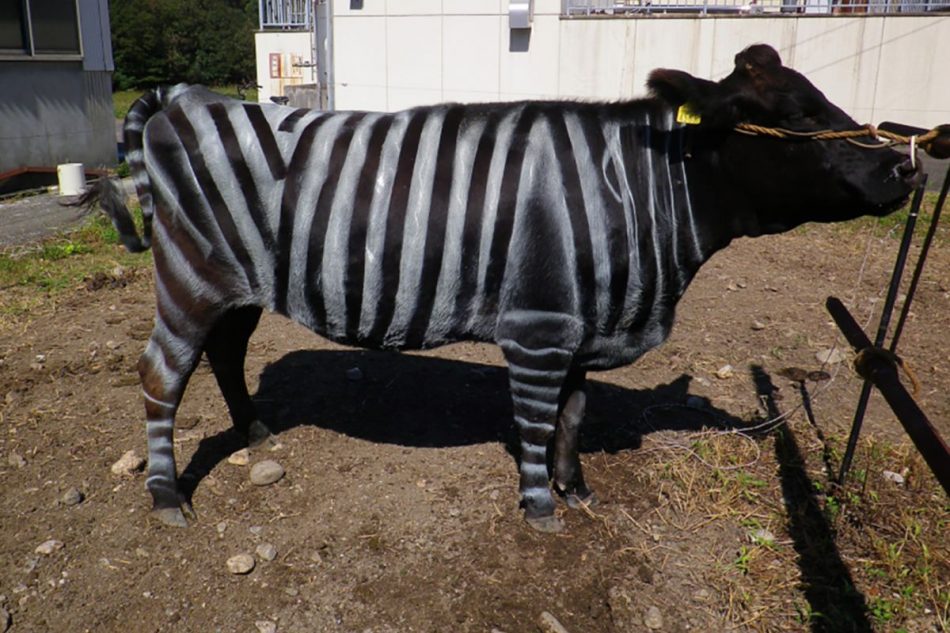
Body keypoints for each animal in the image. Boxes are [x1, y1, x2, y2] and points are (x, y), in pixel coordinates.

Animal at [84, 44, 916, 532]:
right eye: (793, 116)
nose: (903, 167)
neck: (636, 193)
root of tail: (189, 97)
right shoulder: (541, 327)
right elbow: (540, 421)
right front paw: (542, 506)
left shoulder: (584, 323)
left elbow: (574, 416)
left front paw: (578, 489)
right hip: (190, 277)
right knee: (161, 375)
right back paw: (167, 497)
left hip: (238, 285)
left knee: (224, 354)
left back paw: (256, 430)